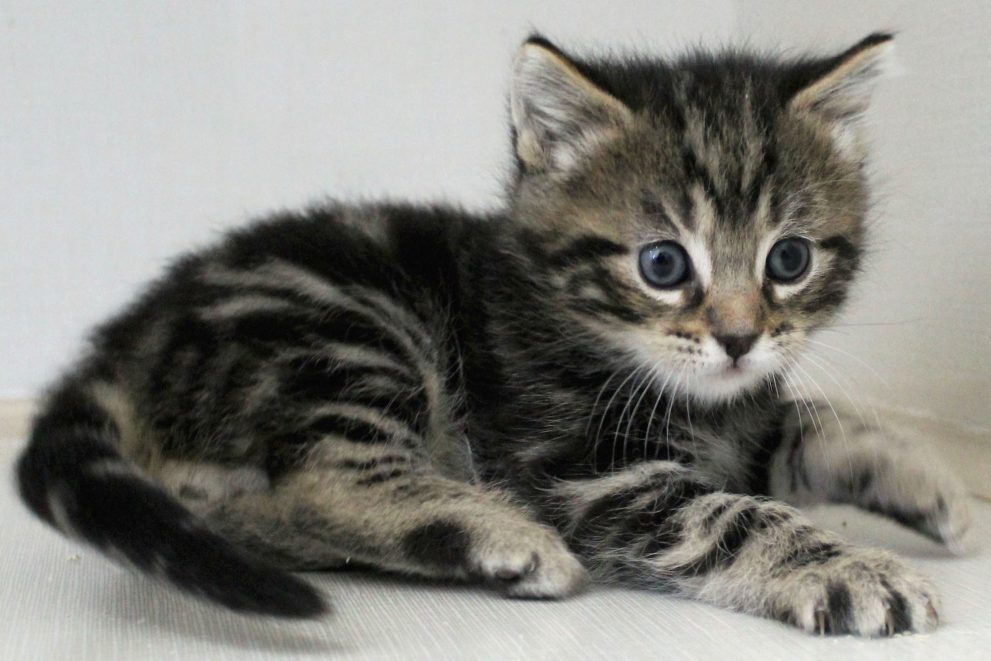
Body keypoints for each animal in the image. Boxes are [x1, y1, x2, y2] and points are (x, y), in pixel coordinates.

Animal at [19, 32, 972, 636]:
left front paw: (935, 486)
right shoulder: (584, 467)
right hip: (345, 328)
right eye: (663, 263)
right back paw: (500, 538)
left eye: (789, 259)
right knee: (321, 475)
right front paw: (850, 567)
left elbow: (806, 427)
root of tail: (132, 330)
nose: (739, 338)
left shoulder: (744, 419)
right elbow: (730, 513)